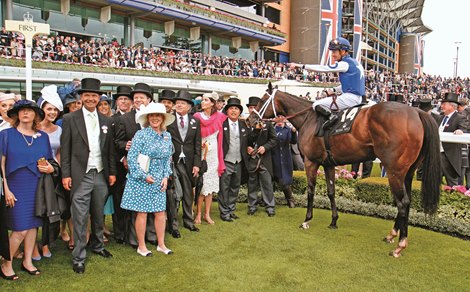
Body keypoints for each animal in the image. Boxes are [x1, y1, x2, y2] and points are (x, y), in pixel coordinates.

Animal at [248, 83, 442, 256]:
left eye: (262, 99)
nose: (250, 119)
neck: (309, 118)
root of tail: (416, 112)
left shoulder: (311, 162)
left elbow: (310, 190)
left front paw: (306, 220)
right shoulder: (328, 164)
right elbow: (331, 191)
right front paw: (334, 221)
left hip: (394, 171)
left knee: (403, 203)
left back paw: (400, 245)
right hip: (407, 172)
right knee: (406, 201)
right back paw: (392, 235)